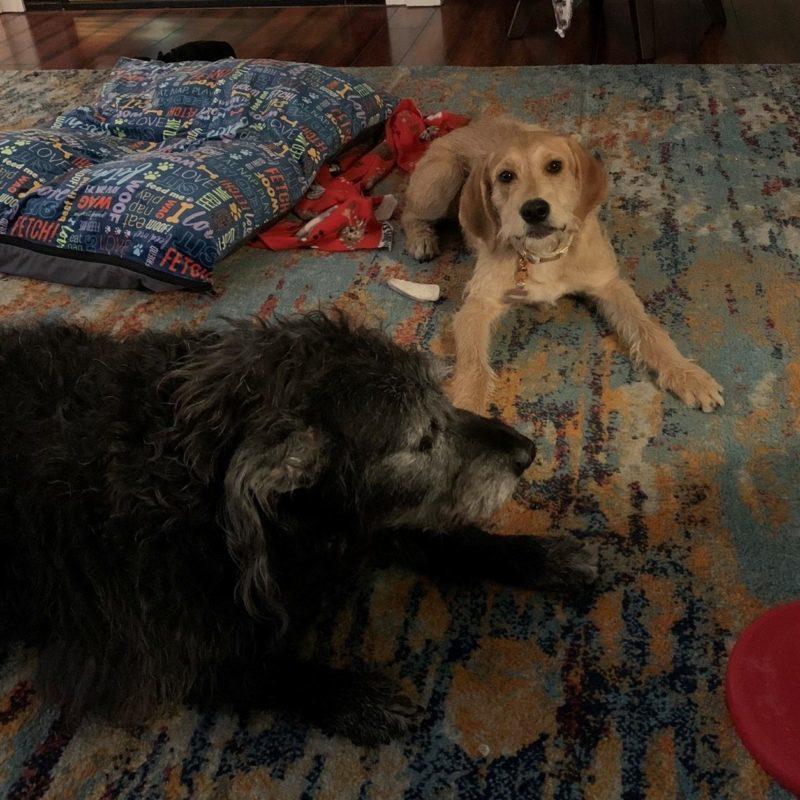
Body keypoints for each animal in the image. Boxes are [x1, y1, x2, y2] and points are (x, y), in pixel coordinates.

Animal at [0, 310, 596, 744]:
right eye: (422, 438)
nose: (529, 452)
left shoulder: (362, 520)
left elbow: (450, 539)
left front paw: (539, 555)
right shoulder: (142, 663)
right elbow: (259, 670)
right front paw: (355, 698)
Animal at [404, 119, 720, 418]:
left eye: (555, 166)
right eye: (506, 175)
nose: (534, 210)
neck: (545, 255)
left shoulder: (609, 285)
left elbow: (648, 330)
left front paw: (685, 374)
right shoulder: (477, 306)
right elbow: (474, 367)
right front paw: (471, 410)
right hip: (440, 178)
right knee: (409, 212)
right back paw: (420, 238)